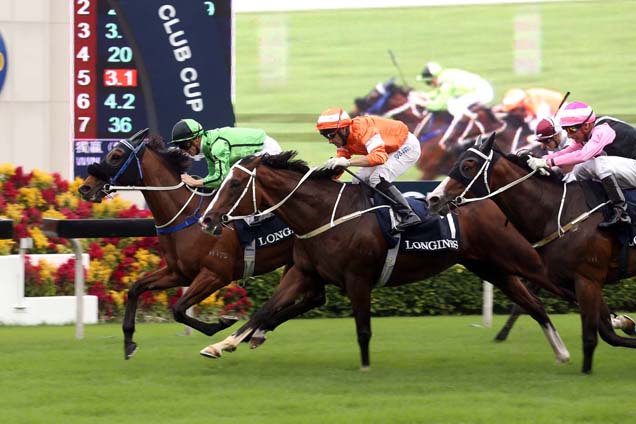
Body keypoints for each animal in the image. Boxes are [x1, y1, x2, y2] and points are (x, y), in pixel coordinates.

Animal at [77, 128, 294, 358]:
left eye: (116, 155)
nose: (85, 187)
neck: (186, 216)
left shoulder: (215, 275)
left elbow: (178, 309)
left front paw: (221, 323)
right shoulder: (179, 272)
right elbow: (136, 288)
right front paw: (128, 342)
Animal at [198, 151, 572, 370]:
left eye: (234, 184)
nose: (206, 219)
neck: (326, 214)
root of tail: (495, 200)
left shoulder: (358, 278)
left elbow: (363, 329)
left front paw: (365, 367)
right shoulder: (303, 272)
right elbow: (263, 310)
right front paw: (222, 344)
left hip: (524, 260)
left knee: (562, 290)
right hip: (492, 268)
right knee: (535, 305)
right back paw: (562, 352)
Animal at [428, 133, 636, 374]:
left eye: (467, 165)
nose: (433, 199)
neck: (558, 211)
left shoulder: (588, 279)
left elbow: (591, 337)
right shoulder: (572, 280)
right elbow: (605, 331)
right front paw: (625, 323)